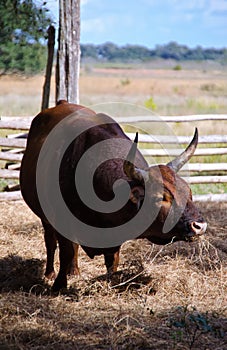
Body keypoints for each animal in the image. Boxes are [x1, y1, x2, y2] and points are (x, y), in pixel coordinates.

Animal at [20, 100, 207, 292]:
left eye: (189, 193)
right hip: (45, 217)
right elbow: (66, 251)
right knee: (50, 242)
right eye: (160, 197)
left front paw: (110, 282)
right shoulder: (61, 222)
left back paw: (74, 271)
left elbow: (111, 261)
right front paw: (59, 285)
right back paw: (50, 273)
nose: (199, 225)